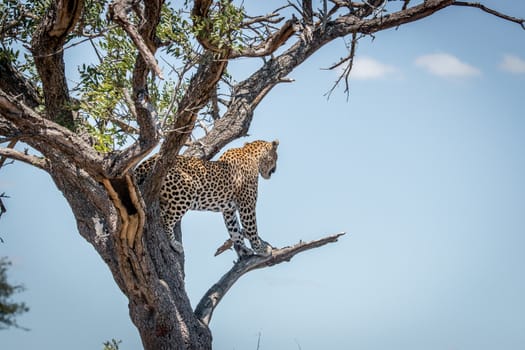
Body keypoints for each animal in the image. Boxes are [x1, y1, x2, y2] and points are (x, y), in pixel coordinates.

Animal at [134, 141, 278, 258]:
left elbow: (235, 230)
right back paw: (175, 244)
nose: (275, 170)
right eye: (276, 157)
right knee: (165, 220)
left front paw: (244, 250)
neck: (252, 155)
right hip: (186, 190)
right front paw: (261, 249)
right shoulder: (247, 205)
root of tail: (148, 161)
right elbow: (251, 228)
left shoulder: (229, 210)